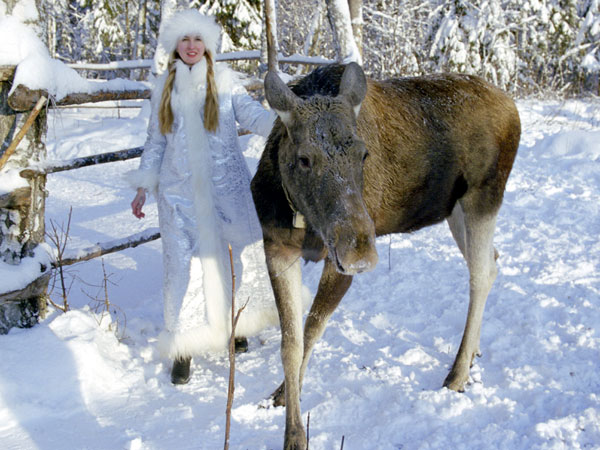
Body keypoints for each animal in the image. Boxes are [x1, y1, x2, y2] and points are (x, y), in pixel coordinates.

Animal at [250, 61, 520, 448]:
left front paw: (295, 428)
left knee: (480, 275)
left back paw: (457, 373)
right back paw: (473, 354)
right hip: (453, 210)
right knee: (492, 263)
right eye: (304, 159)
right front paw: (284, 404)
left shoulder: (336, 265)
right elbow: (291, 343)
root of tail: (513, 106)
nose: (360, 250)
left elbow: (311, 330)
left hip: (484, 197)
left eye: (363, 154)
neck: (303, 219)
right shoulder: (276, 247)